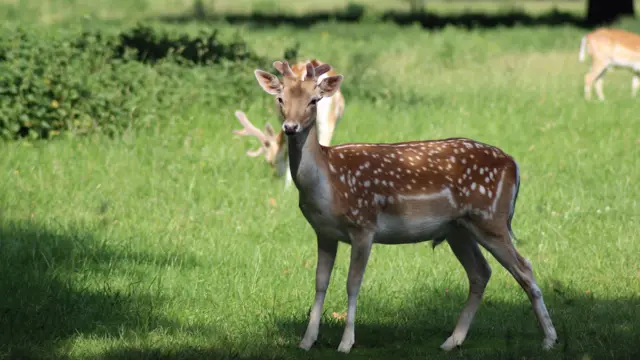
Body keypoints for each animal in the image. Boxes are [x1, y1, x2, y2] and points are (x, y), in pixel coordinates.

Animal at [252, 60, 556, 352]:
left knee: (524, 268)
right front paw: (306, 341)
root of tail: (513, 164)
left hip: (491, 217)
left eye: (314, 100)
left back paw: (549, 339)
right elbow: (320, 283)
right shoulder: (324, 232)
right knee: (480, 272)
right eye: (280, 98)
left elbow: (352, 283)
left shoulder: (364, 224)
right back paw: (452, 341)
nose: (290, 127)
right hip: (458, 228)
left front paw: (346, 343)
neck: (327, 182)